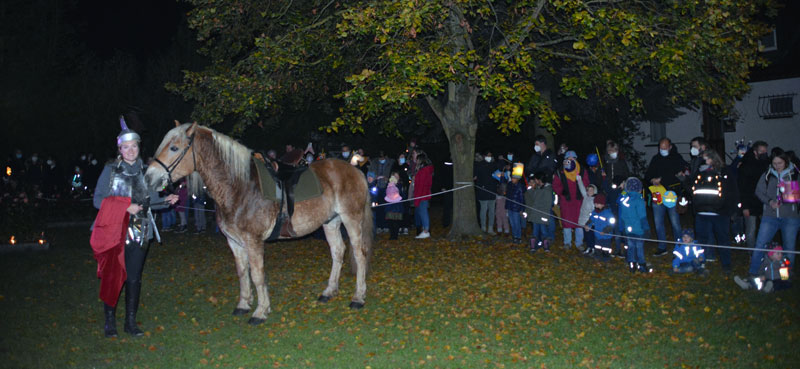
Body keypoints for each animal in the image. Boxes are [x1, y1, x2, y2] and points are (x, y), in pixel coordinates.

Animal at [145, 122, 374, 324]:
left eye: (174, 148)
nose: (148, 178)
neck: (239, 187)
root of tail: (355, 170)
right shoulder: (234, 242)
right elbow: (242, 273)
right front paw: (244, 304)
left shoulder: (253, 241)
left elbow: (257, 275)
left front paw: (260, 312)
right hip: (331, 222)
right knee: (338, 251)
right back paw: (329, 291)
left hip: (351, 219)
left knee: (360, 253)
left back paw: (358, 297)